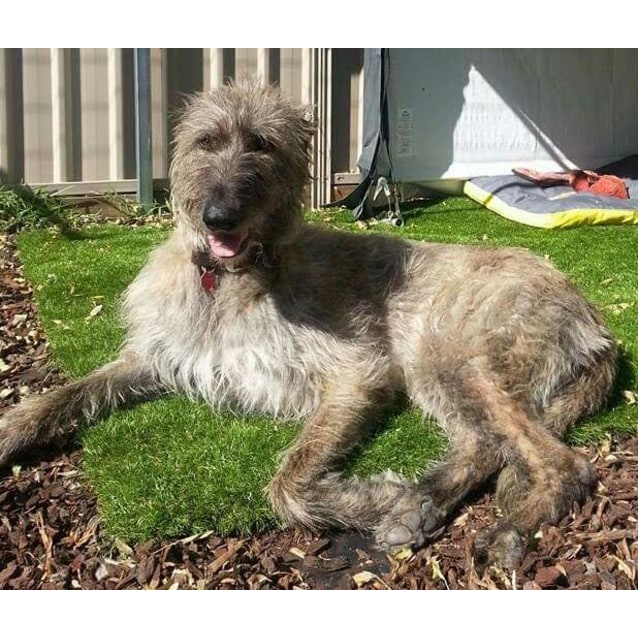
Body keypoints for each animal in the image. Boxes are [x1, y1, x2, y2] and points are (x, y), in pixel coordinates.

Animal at [0, 82, 620, 568]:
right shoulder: (156, 358)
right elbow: (68, 392)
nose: (219, 216)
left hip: (452, 354)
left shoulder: (357, 373)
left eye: (262, 144)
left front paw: (367, 498)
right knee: (482, 444)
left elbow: (287, 485)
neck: (231, 282)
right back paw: (419, 504)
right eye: (206, 142)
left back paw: (501, 527)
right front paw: (13, 427)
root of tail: (592, 317)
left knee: (563, 463)